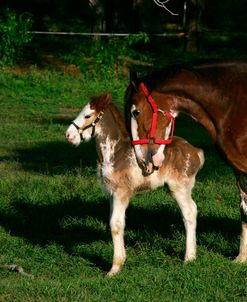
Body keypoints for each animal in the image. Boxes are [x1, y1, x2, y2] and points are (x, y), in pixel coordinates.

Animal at [65, 92, 205, 276]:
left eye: (87, 115)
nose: (68, 135)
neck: (114, 152)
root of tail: (195, 151)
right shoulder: (112, 194)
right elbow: (115, 222)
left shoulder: (121, 193)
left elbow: (115, 225)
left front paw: (114, 268)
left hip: (179, 188)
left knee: (189, 212)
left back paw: (188, 258)